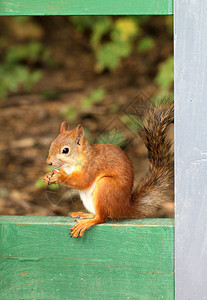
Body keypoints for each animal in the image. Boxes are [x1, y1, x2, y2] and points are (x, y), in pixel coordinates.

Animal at [42, 103, 174, 237]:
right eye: (51, 144)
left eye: (65, 150)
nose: (49, 163)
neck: (73, 164)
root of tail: (123, 208)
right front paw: (48, 175)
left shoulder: (93, 166)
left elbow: (83, 182)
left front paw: (59, 177)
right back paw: (84, 214)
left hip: (106, 186)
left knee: (102, 218)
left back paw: (88, 222)